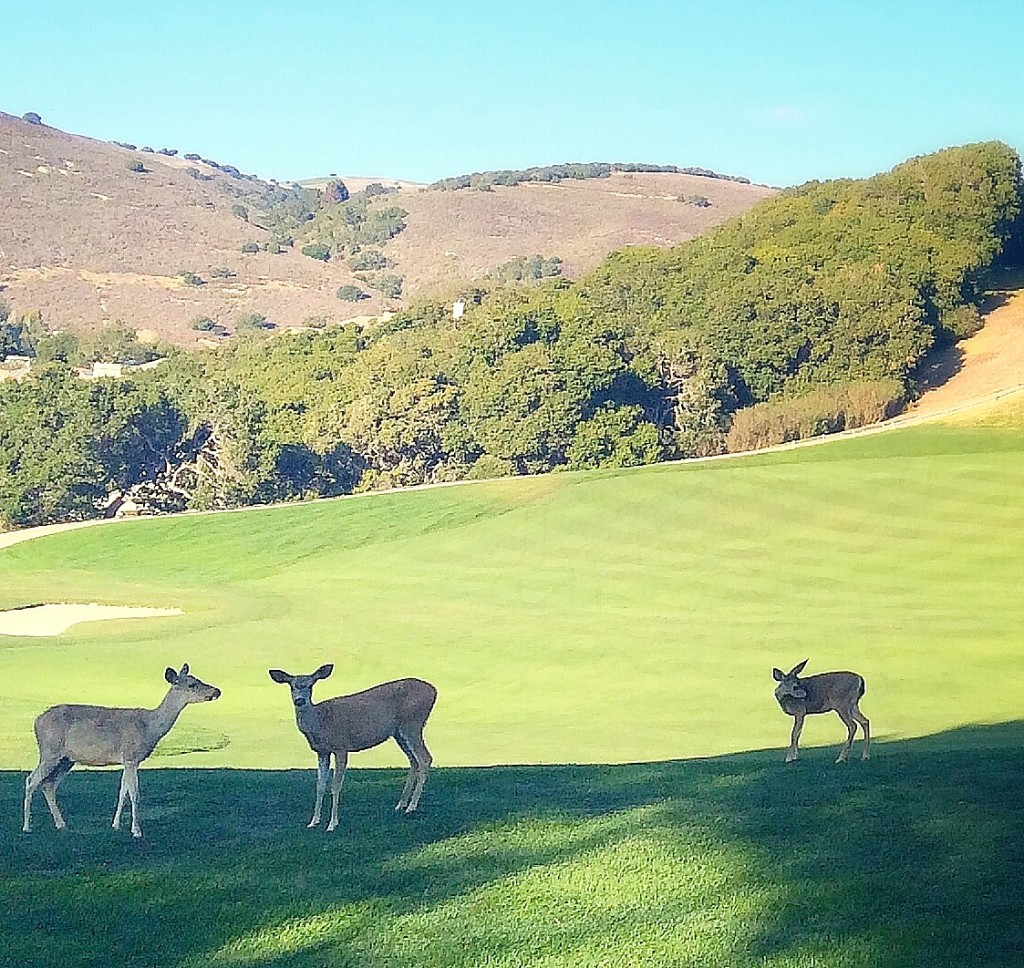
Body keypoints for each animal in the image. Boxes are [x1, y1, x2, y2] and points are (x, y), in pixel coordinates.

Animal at [23, 659, 221, 835]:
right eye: (192, 684)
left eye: (198, 679)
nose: (217, 691)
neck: (150, 728)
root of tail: (36, 721)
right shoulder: (131, 756)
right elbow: (134, 793)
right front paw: (136, 830)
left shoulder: (127, 761)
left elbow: (122, 792)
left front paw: (116, 824)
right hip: (50, 750)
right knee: (31, 780)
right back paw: (26, 826)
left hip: (66, 759)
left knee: (48, 784)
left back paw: (61, 824)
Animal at [268, 663, 436, 831]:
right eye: (291, 685)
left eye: (311, 685)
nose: (300, 701)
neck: (320, 721)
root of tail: (434, 691)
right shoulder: (322, 752)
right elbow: (319, 786)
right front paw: (313, 821)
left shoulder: (341, 747)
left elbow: (335, 785)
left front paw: (332, 823)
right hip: (398, 733)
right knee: (413, 760)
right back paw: (401, 804)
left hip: (412, 723)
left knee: (425, 758)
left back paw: (411, 806)